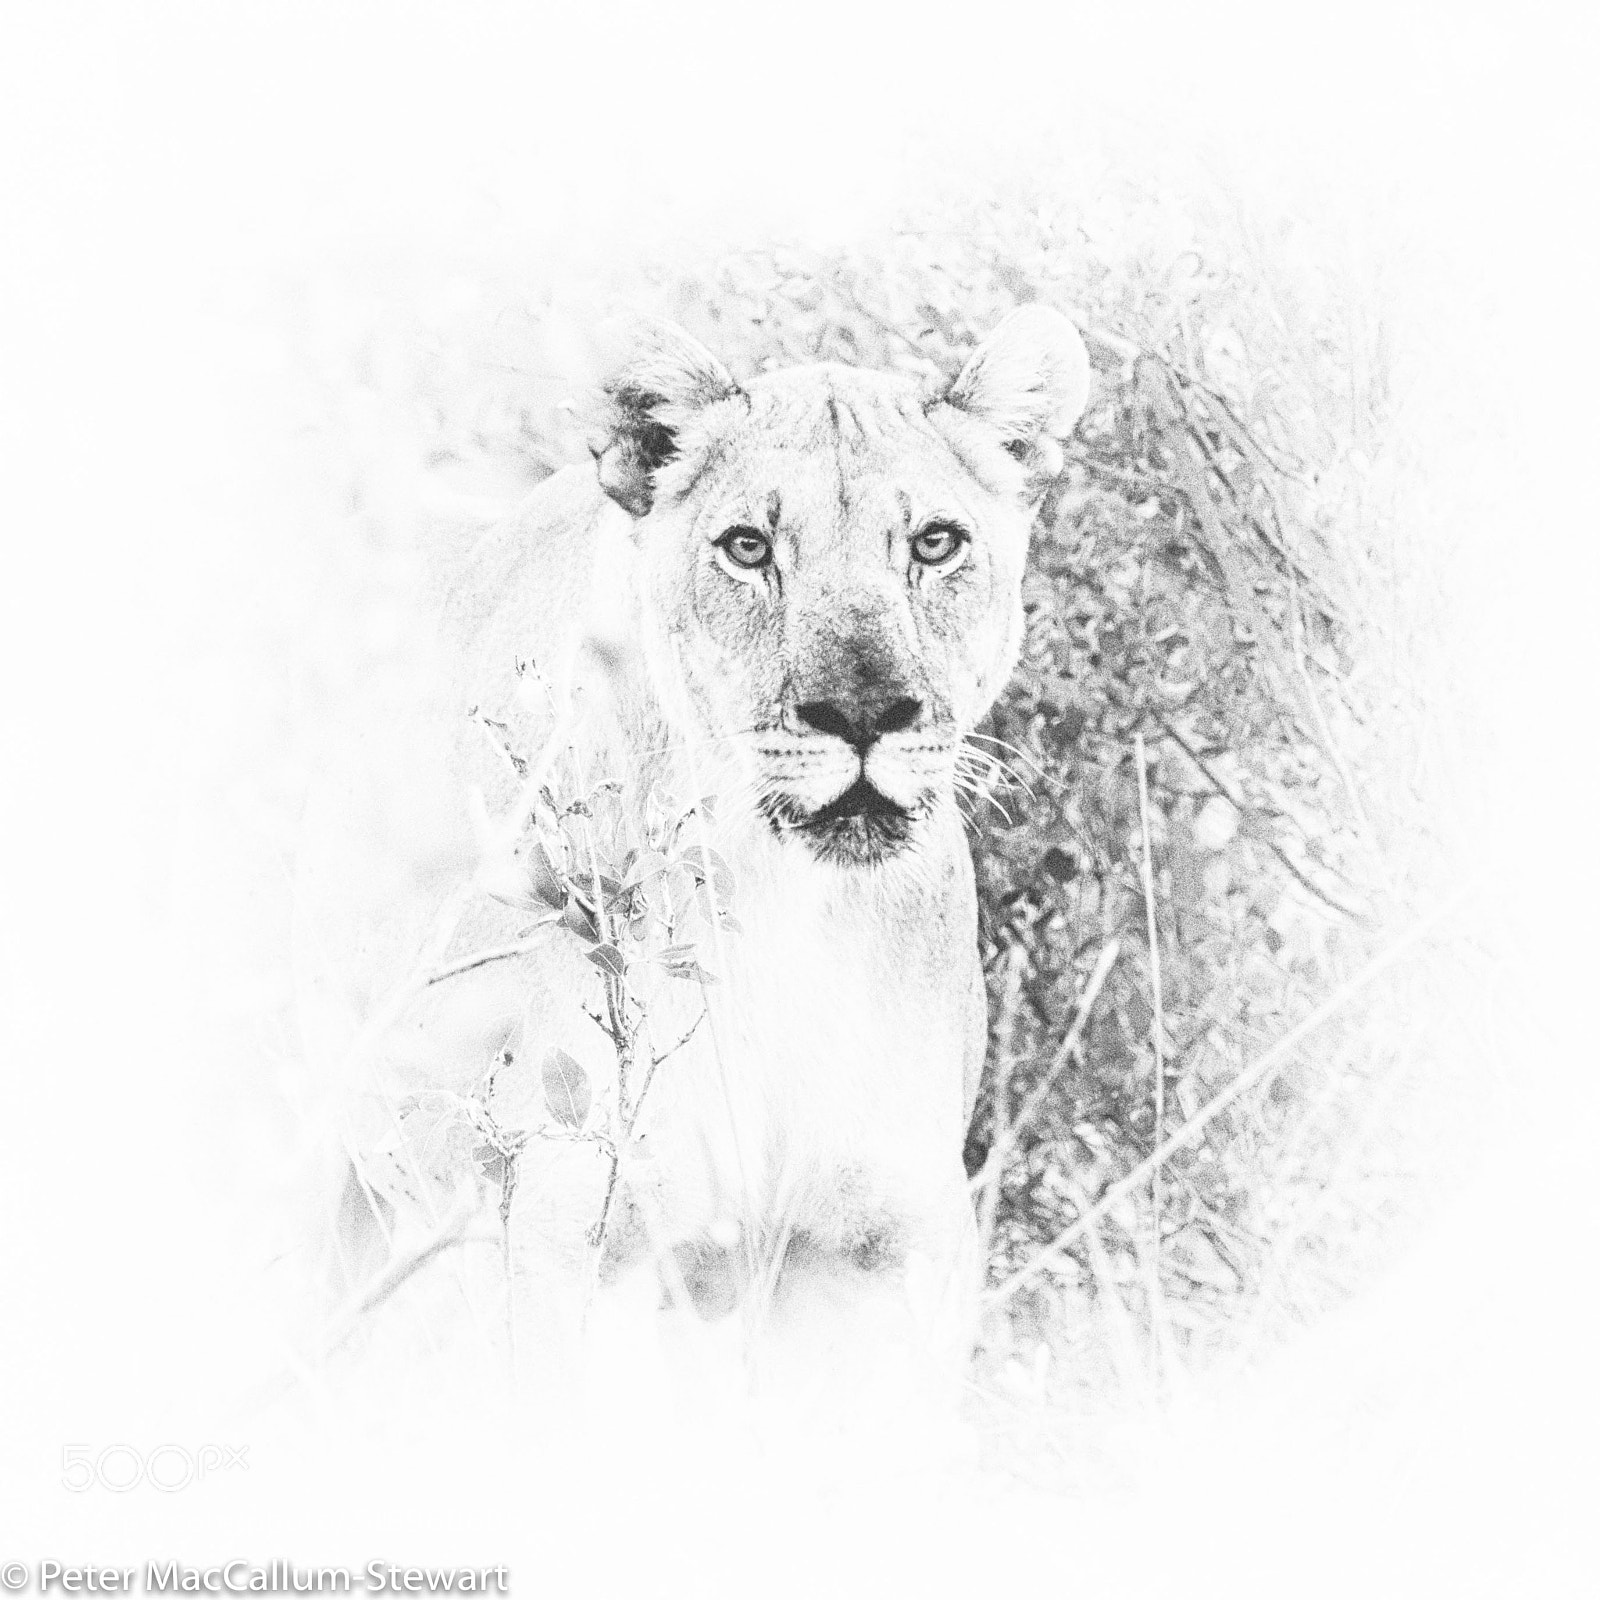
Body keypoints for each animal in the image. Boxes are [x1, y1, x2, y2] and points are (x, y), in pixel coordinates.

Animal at [292, 305, 1091, 1405]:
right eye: (748, 548)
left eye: (935, 543)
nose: (864, 715)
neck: (792, 913)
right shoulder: (561, 1242)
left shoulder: (885, 1253)